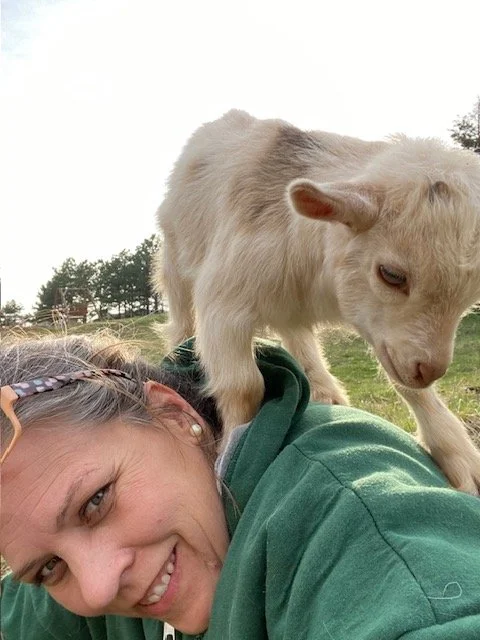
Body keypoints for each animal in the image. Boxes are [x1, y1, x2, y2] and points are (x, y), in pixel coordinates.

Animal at [153, 109, 480, 494]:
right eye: (391, 274)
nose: (431, 370)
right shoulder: (222, 299)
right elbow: (244, 386)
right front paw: (233, 453)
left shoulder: (380, 326)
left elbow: (404, 380)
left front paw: (460, 457)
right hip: (175, 259)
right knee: (182, 319)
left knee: (295, 330)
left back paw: (325, 389)